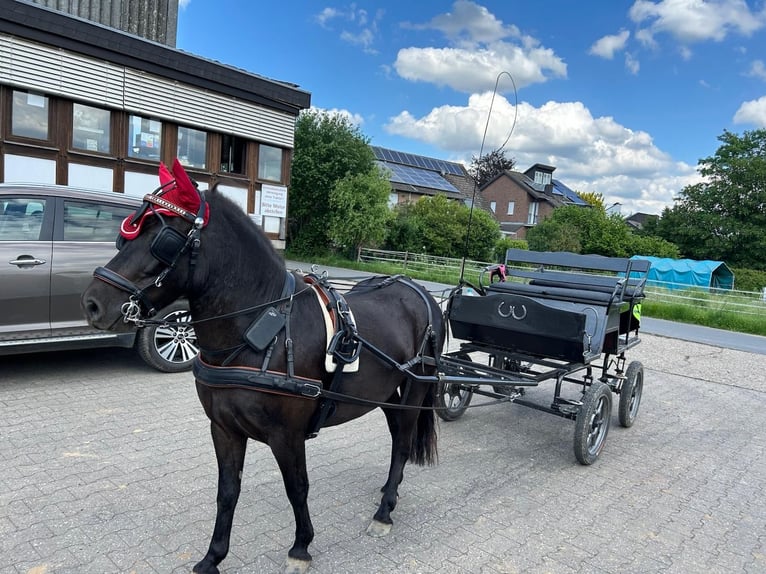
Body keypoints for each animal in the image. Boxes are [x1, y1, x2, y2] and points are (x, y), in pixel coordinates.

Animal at [79, 162, 444, 574]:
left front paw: (301, 547)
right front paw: (212, 557)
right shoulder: (223, 428)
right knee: (398, 434)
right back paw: (387, 492)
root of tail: (420, 291)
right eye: (125, 237)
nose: (93, 303)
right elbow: (227, 491)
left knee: (402, 445)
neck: (258, 331)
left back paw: (384, 511)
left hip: (415, 390)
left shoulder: (288, 435)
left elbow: (297, 488)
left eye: (164, 237)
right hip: (387, 393)